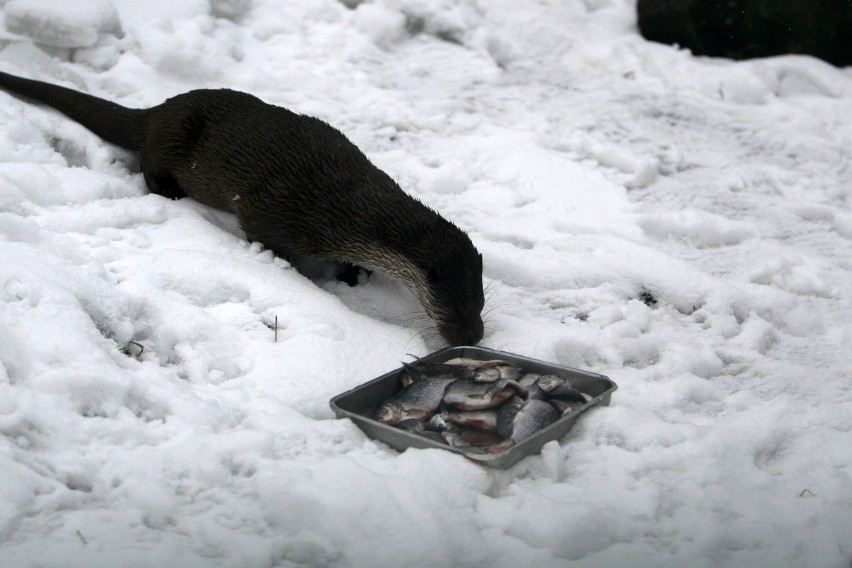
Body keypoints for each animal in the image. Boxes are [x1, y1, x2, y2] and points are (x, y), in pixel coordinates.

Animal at [0, 71, 482, 346]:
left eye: (479, 302)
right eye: (455, 309)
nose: (475, 336)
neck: (346, 209)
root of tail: (156, 111)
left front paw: (353, 274)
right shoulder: (274, 210)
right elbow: (264, 235)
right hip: (170, 137)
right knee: (147, 163)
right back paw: (168, 192)